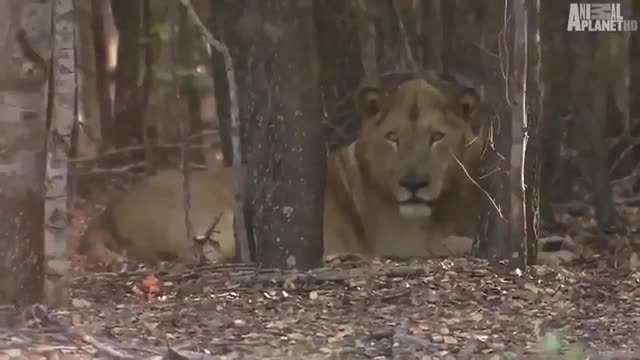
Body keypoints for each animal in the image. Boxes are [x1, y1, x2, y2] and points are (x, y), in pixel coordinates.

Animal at [79, 71, 576, 266]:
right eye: (394, 137)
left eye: (436, 137)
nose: (413, 184)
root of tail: (105, 213)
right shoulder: (400, 241)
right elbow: (463, 247)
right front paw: (552, 254)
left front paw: (557, 242)